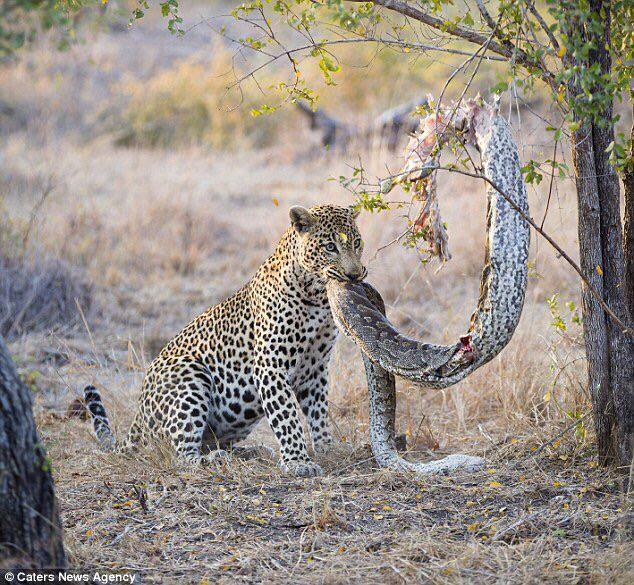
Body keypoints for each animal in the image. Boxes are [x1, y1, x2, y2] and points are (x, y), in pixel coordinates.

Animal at [84, 203, 366, 476]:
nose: (354, 275)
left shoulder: (315, 369)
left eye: (357, 243)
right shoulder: (270, 366)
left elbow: (318, 413)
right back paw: (214, 459)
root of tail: (138, 417)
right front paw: (298, 462)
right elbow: (286, 416)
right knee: (181, 456)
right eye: (330, 247)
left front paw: (327, 449)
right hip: (190, 373)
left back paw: (253, 452)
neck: (317, 296)